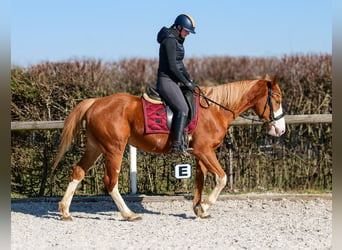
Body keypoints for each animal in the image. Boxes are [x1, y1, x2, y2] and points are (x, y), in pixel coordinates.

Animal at [51, 75, 286, 221]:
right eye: (276, 99)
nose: (281, 129)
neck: (215, 109)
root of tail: (96, 102)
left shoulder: (200, 153)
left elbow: (200, 180)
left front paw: (199, 209)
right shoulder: (205, 151)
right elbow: (221, 178)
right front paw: (206, 205)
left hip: (95, 148)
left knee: (78, 172)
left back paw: (65, 211)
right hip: (114, 149)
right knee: (111, 182)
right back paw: (129, 214)